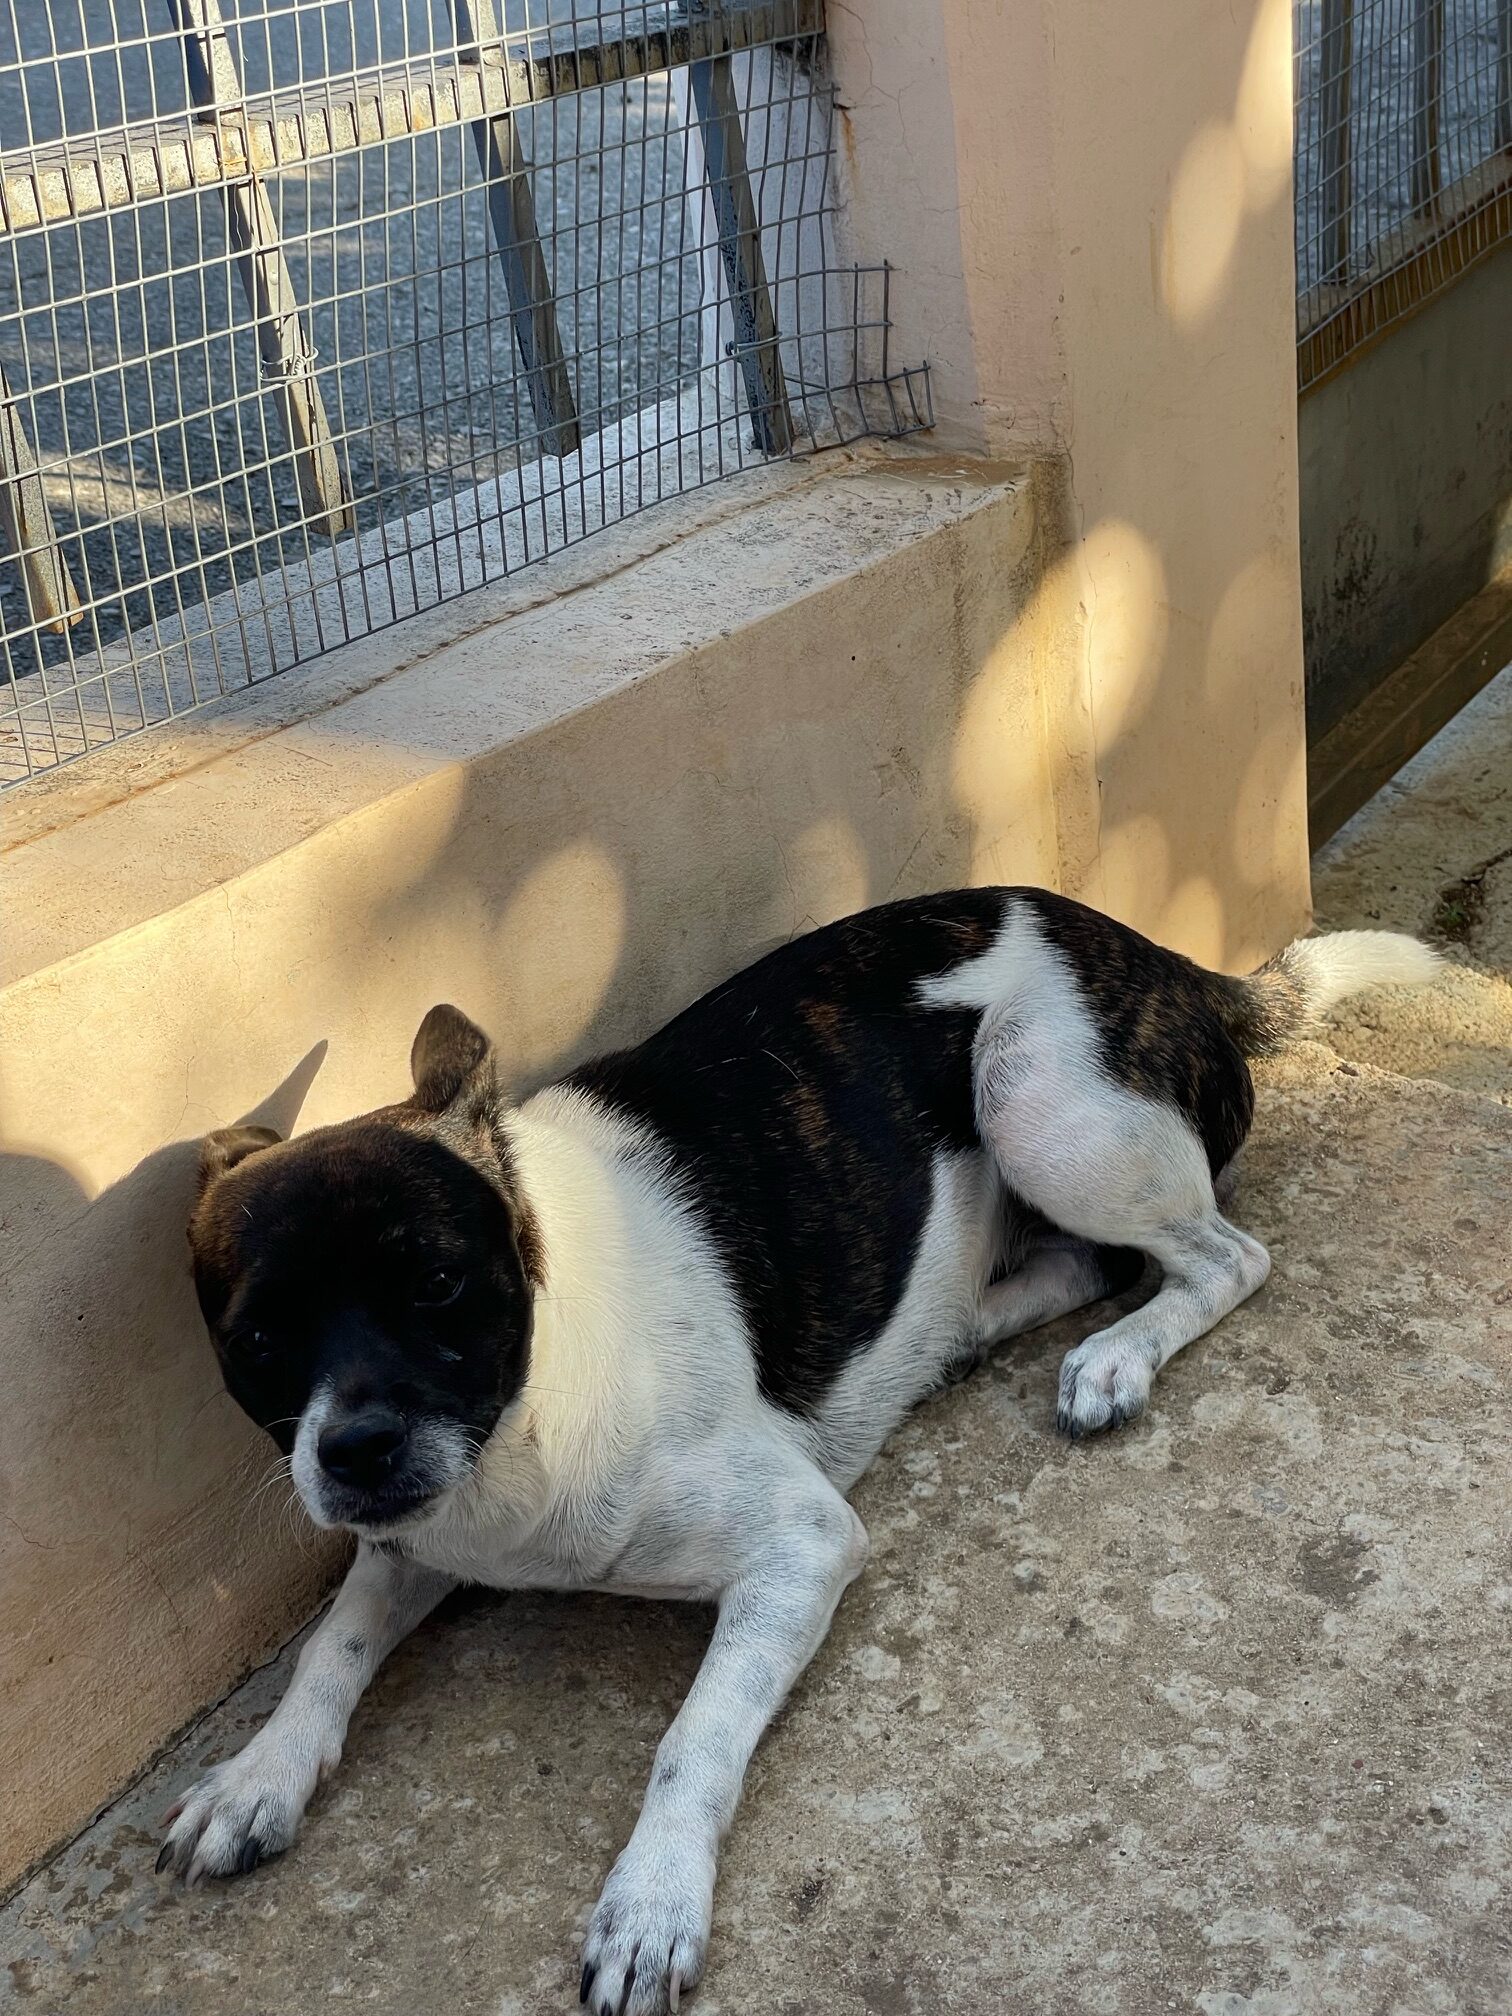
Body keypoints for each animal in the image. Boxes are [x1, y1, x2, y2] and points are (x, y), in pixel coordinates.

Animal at [164, 887, 1436, 2014]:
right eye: (258, 1340)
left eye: (436, 1283)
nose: (357, 1450)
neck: (533, 1389)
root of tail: (1157, 955)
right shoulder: (411, 1536)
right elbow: (331, 1643)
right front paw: (260, 1773)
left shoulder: (801, 1545)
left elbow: (691, 1741)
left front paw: (650, 1902)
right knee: (1086, 1264)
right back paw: (965, 1331)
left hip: (1046, 1110)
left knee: (1220, 1258)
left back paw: (1116, 1357)